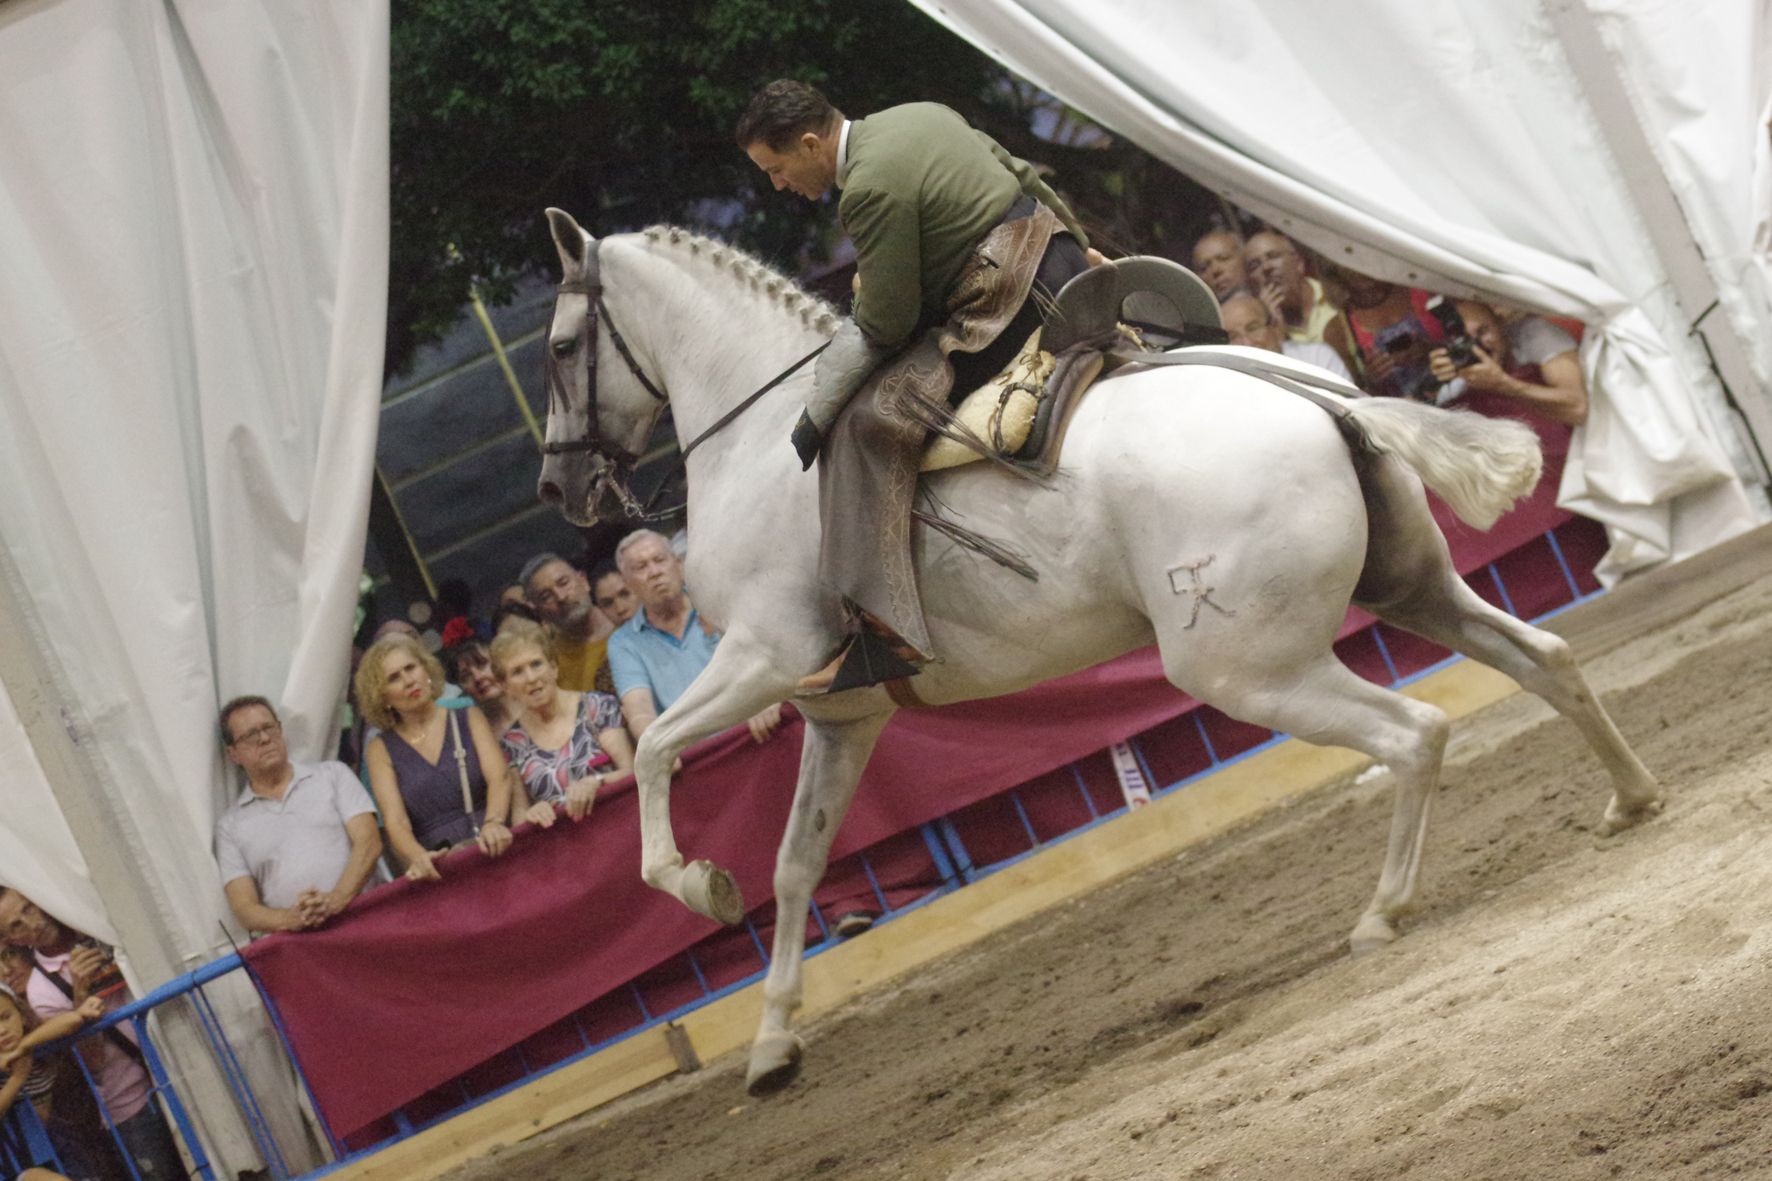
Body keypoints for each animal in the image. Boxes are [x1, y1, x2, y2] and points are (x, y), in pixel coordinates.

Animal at [535, 204, 1658, 1092]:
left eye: (557, 345)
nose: (558, 488)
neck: (763, 434)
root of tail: (1322, 396)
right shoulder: (842, 713)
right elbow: (797, 865)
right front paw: (771, 1043)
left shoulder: (765, 659)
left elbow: (653, 753)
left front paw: (694, 883)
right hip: (1413, 587)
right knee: (1543, 659)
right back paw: (1629, 798)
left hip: (1247, 669)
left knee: (1414, 730)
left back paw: (1382, 910)